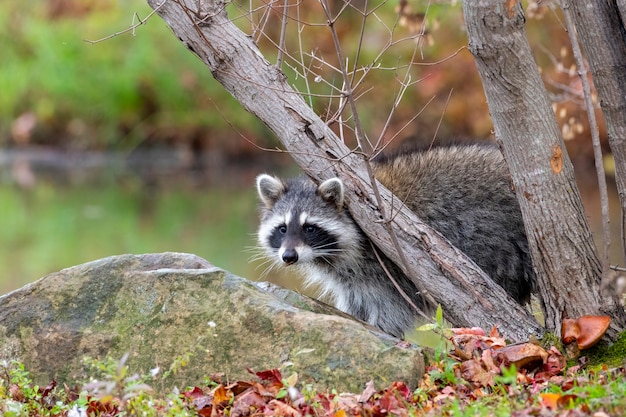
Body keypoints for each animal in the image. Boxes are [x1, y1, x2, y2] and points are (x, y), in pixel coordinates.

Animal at [254, 145, 532, 336]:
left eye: (309, 228)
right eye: (282, 229)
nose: (289, 256)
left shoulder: (390, 268)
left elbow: (392, 308)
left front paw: (381, 330)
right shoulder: (355, 279)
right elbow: (357, 302)